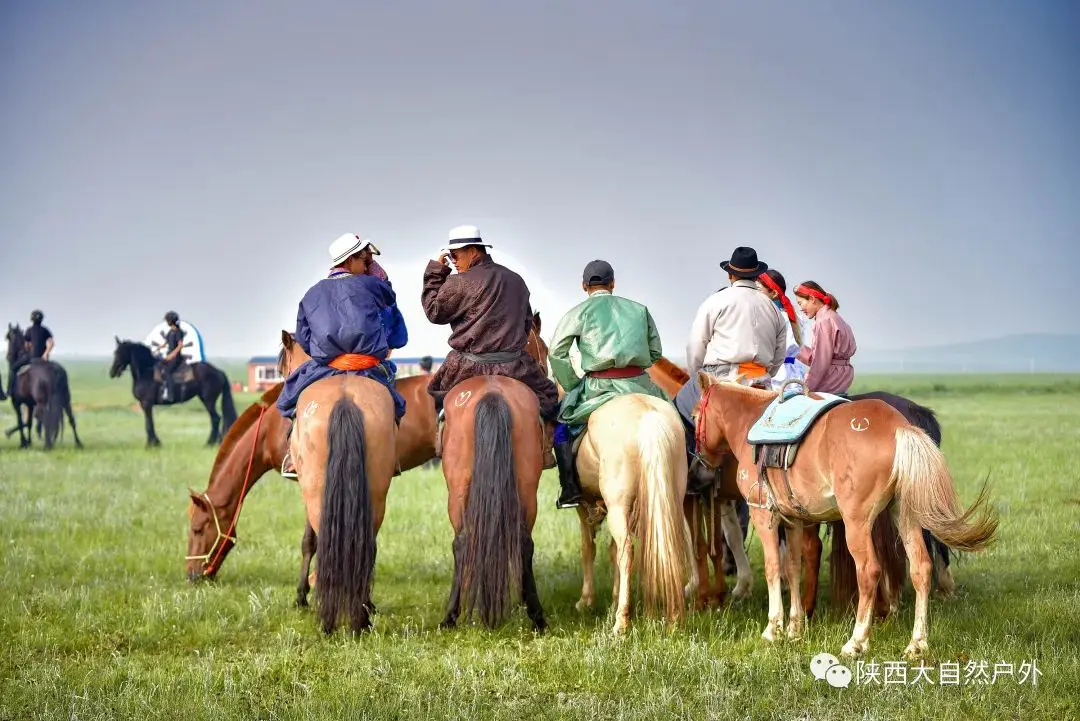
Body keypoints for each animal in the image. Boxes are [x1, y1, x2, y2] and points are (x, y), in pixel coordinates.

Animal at [436, 375, 548, 634]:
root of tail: (492, 394)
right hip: (526, 488)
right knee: (524, 542)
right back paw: (537, 616)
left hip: (456, 493)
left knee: (462, 542)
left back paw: (450, 616)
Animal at [570, 390, 686, 634]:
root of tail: (649, 416)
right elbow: (611, 551)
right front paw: (612, 600)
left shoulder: (584, 508)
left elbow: (588, 548)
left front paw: (586, 600)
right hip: (668, 502)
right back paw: (673, 618)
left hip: (617, 508)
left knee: (627, 552)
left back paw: (621, 622)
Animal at [691, 375, 993, 660]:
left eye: (694, 416)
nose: (698, 467)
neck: (749, 425)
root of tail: (900, 428)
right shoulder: (793, 520)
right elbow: (792, 569)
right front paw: (795, 628)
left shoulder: (763, 514)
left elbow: (773, 568)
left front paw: (772, 629)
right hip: (904, 514)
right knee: (921, 567)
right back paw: (916, 644)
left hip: (856, 523)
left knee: (869, 571)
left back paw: (856, 642)